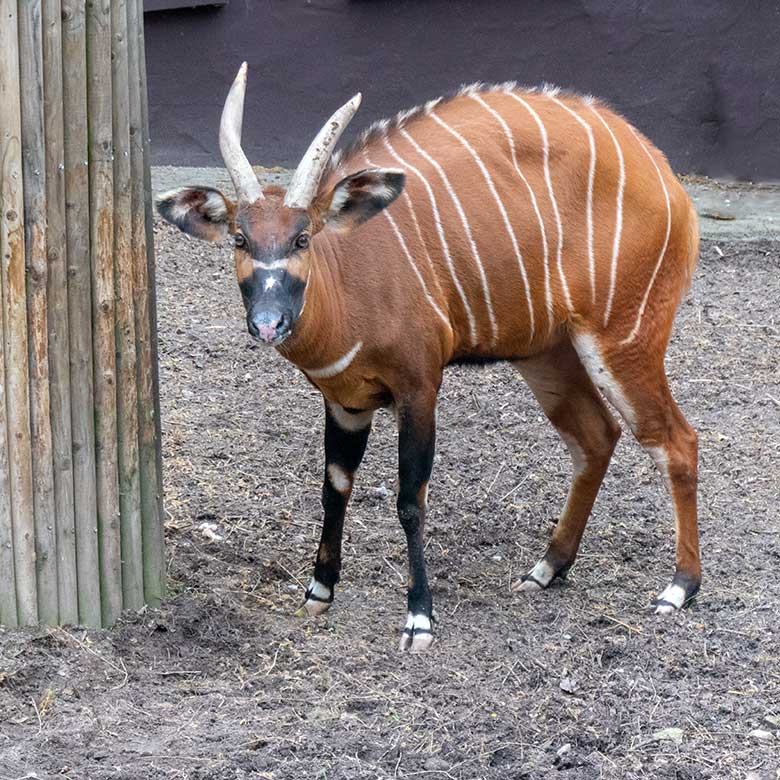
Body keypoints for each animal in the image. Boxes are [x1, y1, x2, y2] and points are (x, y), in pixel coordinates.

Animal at [157, 62, 700, 652]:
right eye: (240, 238)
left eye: (303, 238)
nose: (267, 322)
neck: (348, 280)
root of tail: (667, 178)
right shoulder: (346, 403)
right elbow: (334, 486)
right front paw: (318, 591)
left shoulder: (419, 388)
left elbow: (410, 499)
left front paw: (419, 618)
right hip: (546, 352)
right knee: (596, 435)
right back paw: (546, 569)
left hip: (624, 339)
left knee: (677, 440)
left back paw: (679, 588)